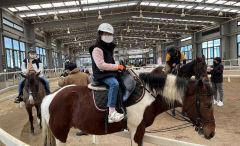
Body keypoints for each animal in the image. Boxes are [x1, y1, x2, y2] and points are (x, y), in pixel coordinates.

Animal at [41, 73, 216, 145]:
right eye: (207, 105)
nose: (211, 133)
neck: (149, 96)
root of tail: (50, 96)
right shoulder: (137, 129)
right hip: (60, 134)